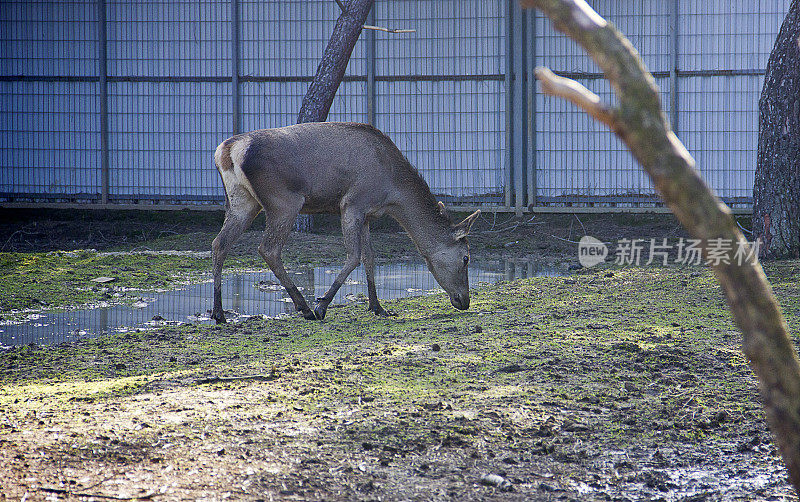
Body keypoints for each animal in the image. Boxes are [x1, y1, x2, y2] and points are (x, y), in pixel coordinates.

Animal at [209, 121, 478, 322]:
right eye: (466, 257)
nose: (464, 301)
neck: (392, 191)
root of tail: (226, 150)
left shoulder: (368, 214)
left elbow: (370, 256)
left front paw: (378, 307)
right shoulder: (352, 203)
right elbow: (354, 255)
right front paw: (322, 305)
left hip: (242, 202)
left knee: (219, 243)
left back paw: (219, 313)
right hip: (284, 201)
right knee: (268, 249)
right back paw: (305, 307)